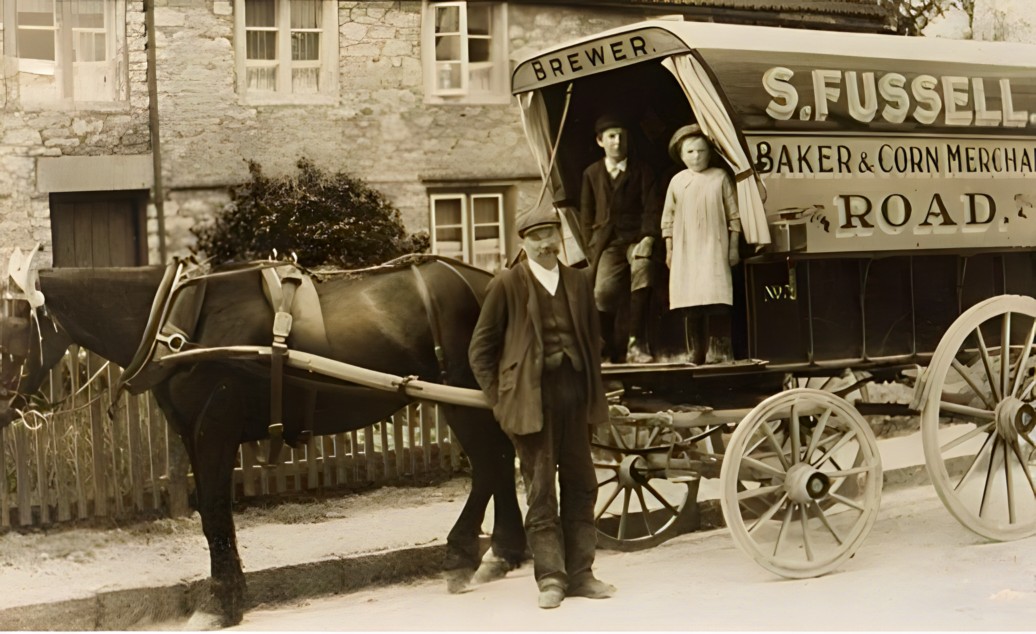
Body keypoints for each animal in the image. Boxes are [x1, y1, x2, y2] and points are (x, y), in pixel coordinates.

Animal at [2, 255, 526, 625]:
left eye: (8, 339)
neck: (175, 323)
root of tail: (489, 280)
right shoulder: (192, 431)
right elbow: (210, 512)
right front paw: (228, 595)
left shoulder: (214, 426)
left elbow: (215, 511)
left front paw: (222, 602)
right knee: (499, 460)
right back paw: (502, 550)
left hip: (459, 394)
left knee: (492, 462)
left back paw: (468, 553)